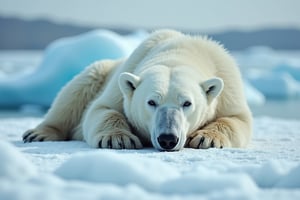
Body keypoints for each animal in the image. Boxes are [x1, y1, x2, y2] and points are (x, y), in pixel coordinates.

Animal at [23, 28, 252, 151]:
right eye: (151, 102)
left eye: (187, 103)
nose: (168, 139)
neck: (183, 52)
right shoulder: (125, 77)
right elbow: (102, 109)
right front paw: (118, 139)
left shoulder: (228, 85)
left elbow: (237, 119)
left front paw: (206, 138)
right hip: (102, 71)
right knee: (75, 92)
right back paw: (38, 134)